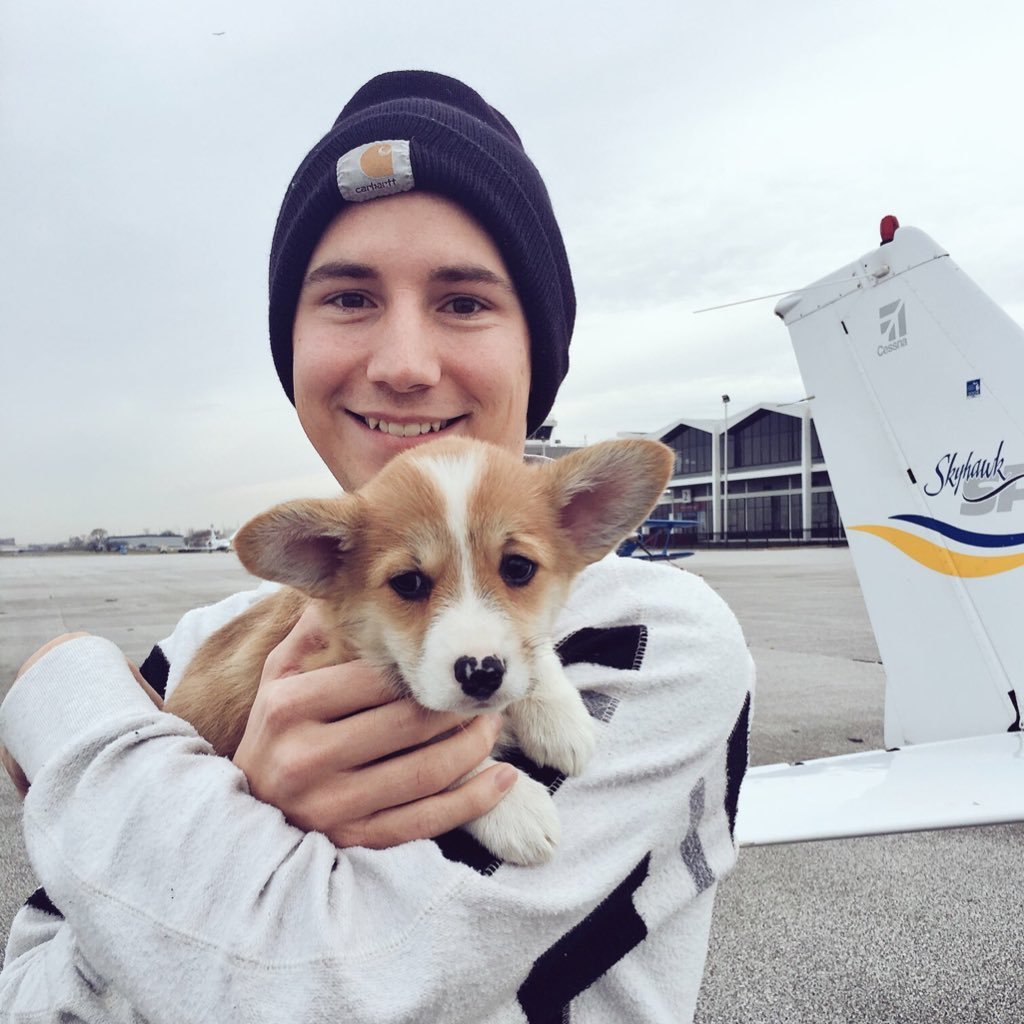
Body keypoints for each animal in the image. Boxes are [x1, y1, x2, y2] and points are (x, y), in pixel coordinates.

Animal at [166, 438, 675, 864]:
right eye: (408, 583)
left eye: (518, 568)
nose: (481, 673)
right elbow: (442, 745)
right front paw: (515, 807)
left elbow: (533, 650)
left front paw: (559, 717)